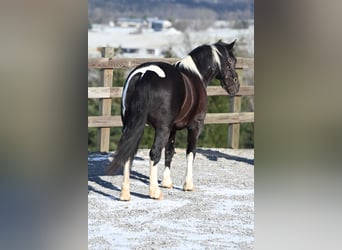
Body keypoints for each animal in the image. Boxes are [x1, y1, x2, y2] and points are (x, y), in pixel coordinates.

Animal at [108, 41, 239, 201]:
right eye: (232, 61)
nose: (235, 85)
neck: (195, 75)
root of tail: (144, 74)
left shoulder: (173, 129)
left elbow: (169, 152)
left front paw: (166, 182)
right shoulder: (195, 126)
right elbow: (190, 153)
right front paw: (188, 185)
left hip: (130, 125)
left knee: (128, 152)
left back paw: (125, 194)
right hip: (161, 129)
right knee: (155, 153)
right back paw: (155, 192)